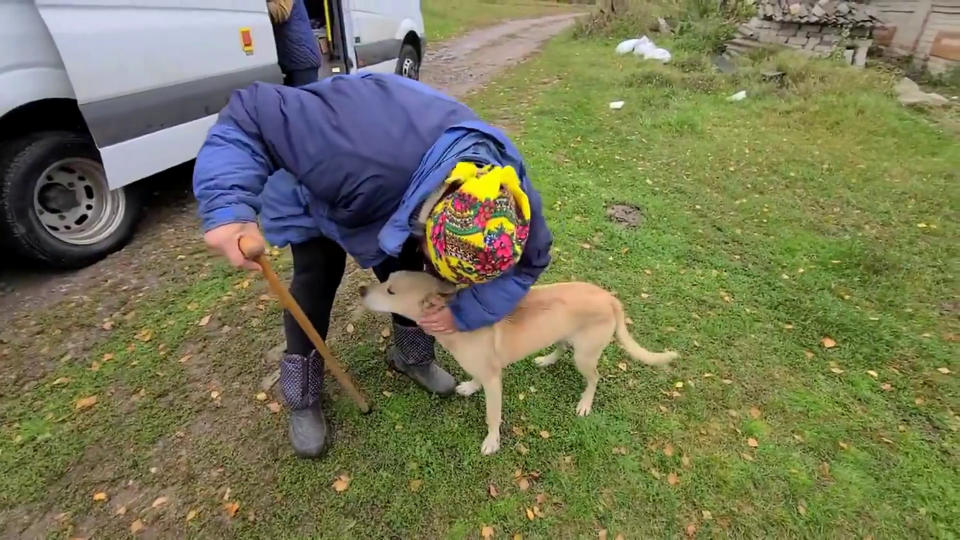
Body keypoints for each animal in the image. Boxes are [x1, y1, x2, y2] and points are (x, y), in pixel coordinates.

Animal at [356, 272, 680, 454]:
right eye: (386, 279)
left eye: (391, 290)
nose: (361, 290)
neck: (454, 317)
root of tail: (610, 299)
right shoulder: (482, 369)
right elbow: (474, 378)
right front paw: (469, 387)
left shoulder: (494, 380)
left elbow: (492, 416)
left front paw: (492, 442)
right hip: (565, 336)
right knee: (561, 347)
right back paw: (546, 359)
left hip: (585, 356)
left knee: (595, 378)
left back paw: (585, 403)